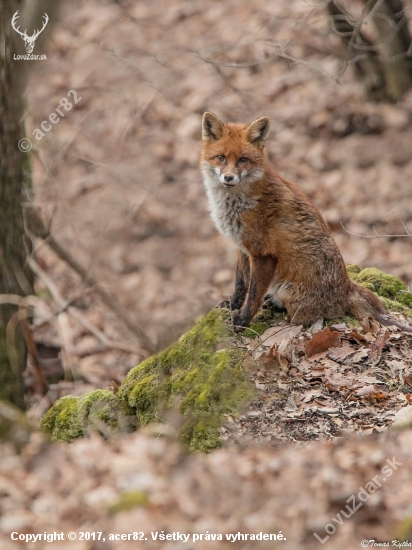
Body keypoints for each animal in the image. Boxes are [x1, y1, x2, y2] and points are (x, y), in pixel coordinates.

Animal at [201, 113, 412, 332]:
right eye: (221, 158)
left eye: (243, 160)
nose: (229, 177)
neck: (236, 204)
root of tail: (347, 288)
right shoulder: (242, 247)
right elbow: (240, 284)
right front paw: (232, 305)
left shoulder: (263, 254)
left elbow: (253, 295)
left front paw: (242, 321)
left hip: (288, 292)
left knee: (306, 316)